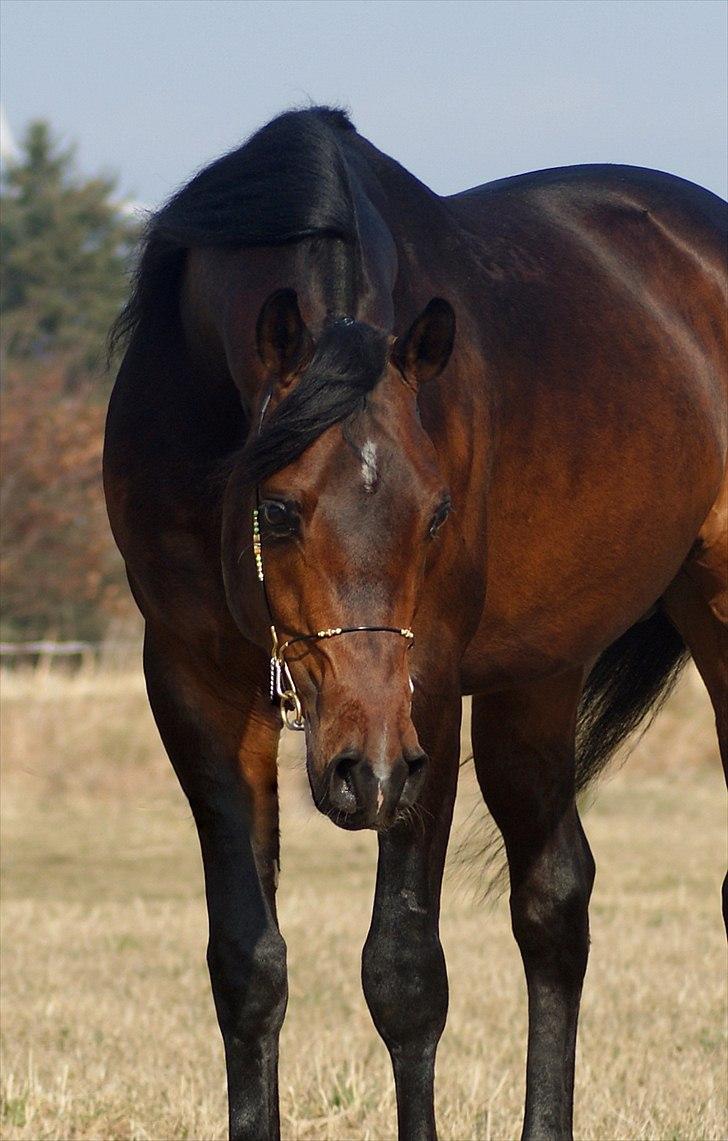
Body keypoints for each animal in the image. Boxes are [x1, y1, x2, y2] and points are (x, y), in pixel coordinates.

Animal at [102, 108, 728, 1141]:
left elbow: (404, 975)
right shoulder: (195, 682)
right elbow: (247, 964)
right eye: (276, 510)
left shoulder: (426, 693)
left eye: (436, 513)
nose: (367, 770)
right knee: (554, 898)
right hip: (538, 676)